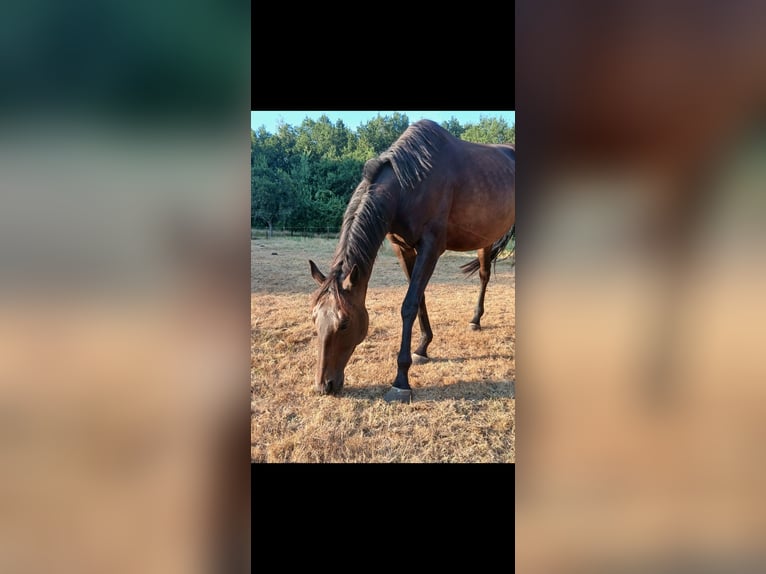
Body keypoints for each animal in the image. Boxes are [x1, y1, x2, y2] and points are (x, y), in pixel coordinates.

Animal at [308, 119, 515, 403]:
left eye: (345, 323)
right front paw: (423, 347)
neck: (410, 184)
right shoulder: (402, 248)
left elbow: (408, 304)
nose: (325, 386)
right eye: (314, 319)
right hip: (485, 238)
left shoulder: (431, 247)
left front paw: (401, 380)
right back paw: (475, 320)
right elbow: (419, 299)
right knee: (484, 275)